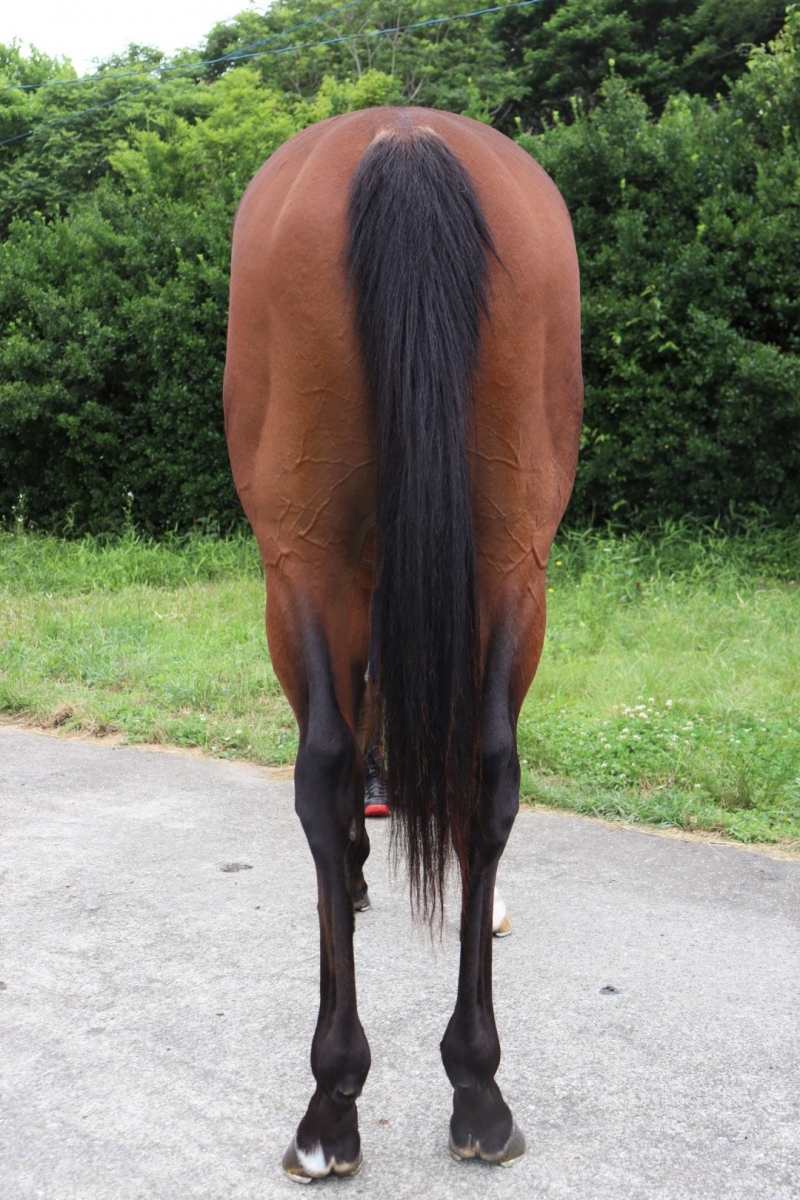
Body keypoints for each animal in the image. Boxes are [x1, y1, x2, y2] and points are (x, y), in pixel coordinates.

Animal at [223, 106, 582, 1182]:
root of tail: (405, 136)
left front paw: (352, 864)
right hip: (513, 553)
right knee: (490, 774)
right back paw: (478, 1086)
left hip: (299, 556)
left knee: (324, 767)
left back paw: (330, 1101)